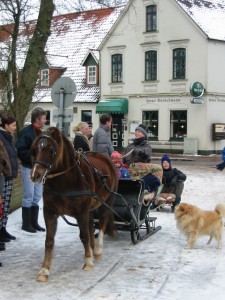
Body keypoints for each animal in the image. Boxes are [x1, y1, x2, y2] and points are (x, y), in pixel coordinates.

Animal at [30, 126, 118, 282]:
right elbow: (49, 240)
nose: (35, 175)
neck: (65, 180)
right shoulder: (49, 212)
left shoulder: (81, 212)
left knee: (102, 222)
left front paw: (88, 261)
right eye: (34, 149)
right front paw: (44, 270)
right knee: (91, 225)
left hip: (107, 201)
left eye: (51, 150)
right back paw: (92, 248)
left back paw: (97, 250)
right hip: (91, 208)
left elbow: (83, 236)